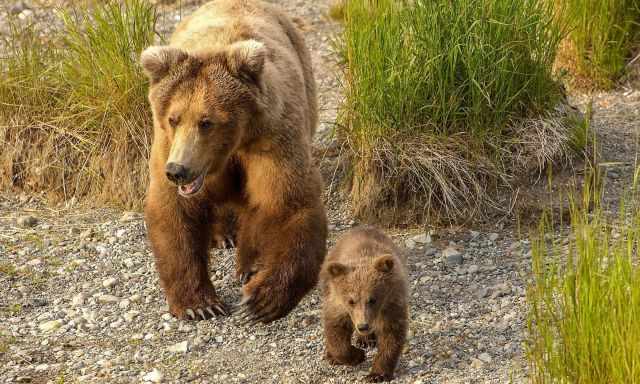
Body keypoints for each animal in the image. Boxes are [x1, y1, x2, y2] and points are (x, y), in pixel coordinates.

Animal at [139, 0, 324, 324]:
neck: (233, 143)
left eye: (206, 122)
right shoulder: (166, 146)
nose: (178, 171)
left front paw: (260, 299)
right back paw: (223, 235)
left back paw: (249, 262)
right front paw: (200, 304)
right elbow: (172, 210)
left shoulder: (272, 140)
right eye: (174, 118)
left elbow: (288, 204)